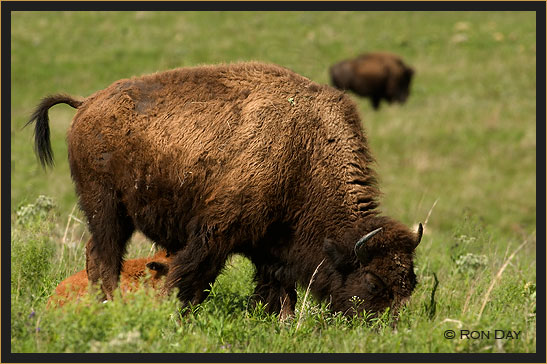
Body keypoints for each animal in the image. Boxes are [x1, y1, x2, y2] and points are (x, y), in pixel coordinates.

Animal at [27, 61, 424, 318]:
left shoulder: (272, 247)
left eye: (410, 284)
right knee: (104, 257)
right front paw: (172, 315)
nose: (382, 329)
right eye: (372, 282)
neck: (305, 148)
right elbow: (190, 278)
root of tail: (87, 103)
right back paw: (110, 306)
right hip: (106, 207)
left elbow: (275, 291)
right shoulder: (213, 233)